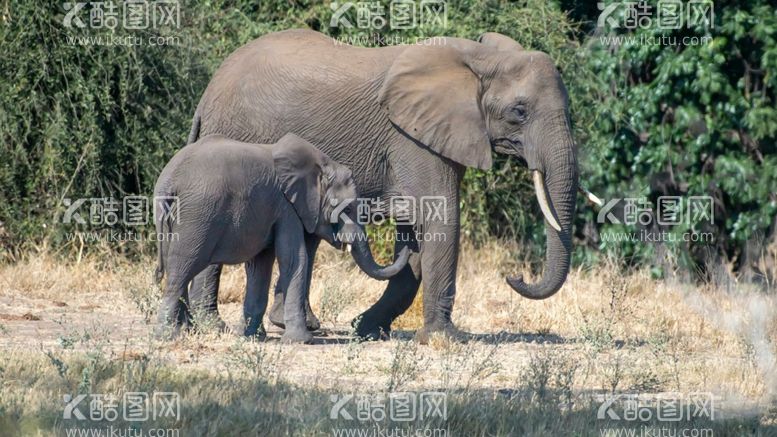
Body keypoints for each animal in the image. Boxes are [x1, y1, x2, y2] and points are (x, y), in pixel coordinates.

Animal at [153, 131, 412, 342]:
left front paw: (252, 337)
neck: (319, 163)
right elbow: (295, 258)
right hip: (197, 217)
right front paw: (301, 341)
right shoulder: (287, 206)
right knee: (182, 269)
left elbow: (260, 265)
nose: (411, 245)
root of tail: (169, 180)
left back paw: (186, 331)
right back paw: (168, 336)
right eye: (347, 208)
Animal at [186, 29, 576, 342]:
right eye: (519, 112)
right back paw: (214, 327)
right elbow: (440, 218)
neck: (480, 59)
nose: (515, 275)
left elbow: (417, 234)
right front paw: (446, 338)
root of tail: (205, 96)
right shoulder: (410, 137)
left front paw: (366, 329)